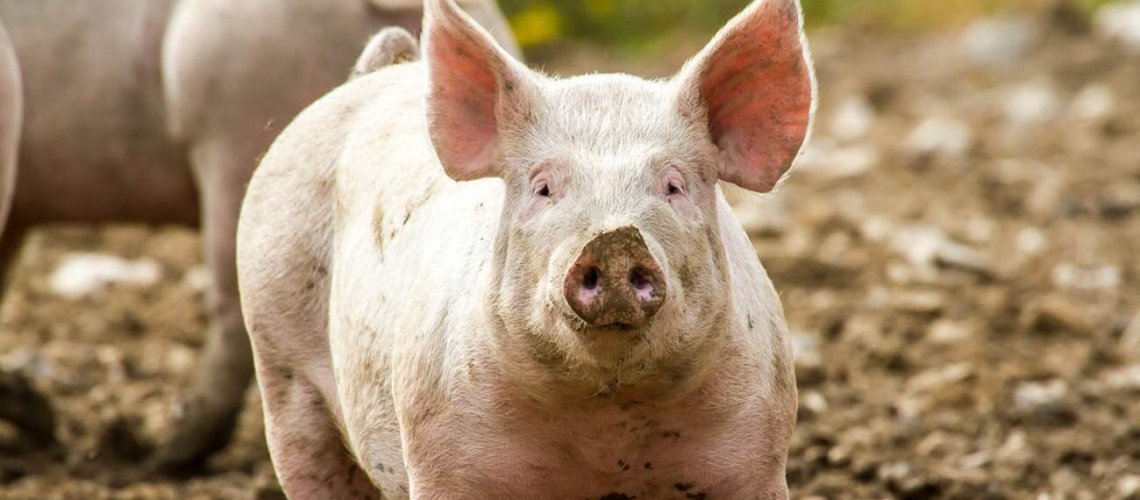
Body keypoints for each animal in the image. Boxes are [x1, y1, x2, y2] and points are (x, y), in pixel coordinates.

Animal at [236, 0, 815, 497]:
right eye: (543, 188)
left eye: (673, 185)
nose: (614, 238)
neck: (608, 420)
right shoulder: (441, 448)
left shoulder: (758, 447)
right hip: (276, 353)